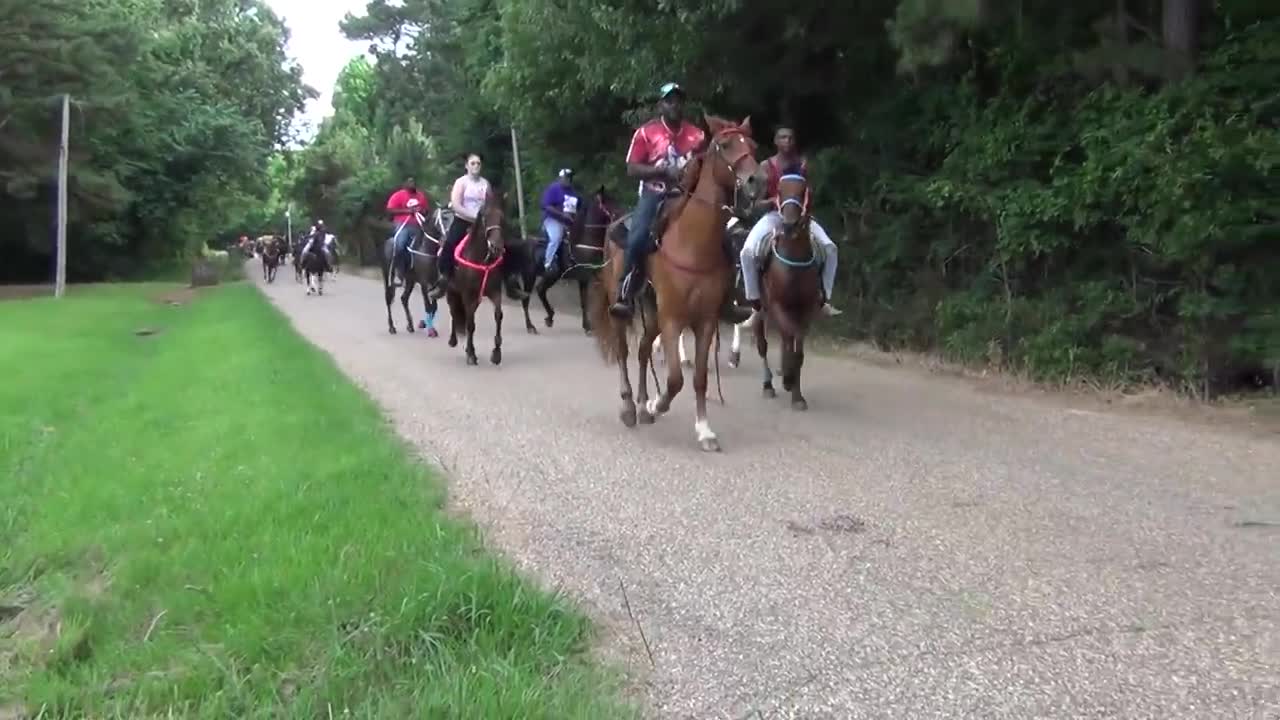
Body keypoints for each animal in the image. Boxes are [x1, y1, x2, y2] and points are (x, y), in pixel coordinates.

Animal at [378, 204, 450, 333]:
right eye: (445, 217)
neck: (426, 249)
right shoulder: (424, 283)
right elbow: (428, 306)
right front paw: (431, 330)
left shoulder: (434, 281)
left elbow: (434, 307)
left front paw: (428, 326)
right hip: (388, 276)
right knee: (388, 299)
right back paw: (391, 327)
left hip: (410, 280)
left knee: (404, 299)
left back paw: (410, 325)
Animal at [445, 190, 509, 363]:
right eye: (485, 217)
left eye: (501, 217)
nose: (496, 247)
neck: (481, 258)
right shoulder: (468, 295)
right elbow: (470, 324)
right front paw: (471, 355)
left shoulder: (494, 291)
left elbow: (498, 316)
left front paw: (496, 353)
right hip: (452, 292)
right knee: (454, 312)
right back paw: (453, 340)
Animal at [588, 114, 757, 450]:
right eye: (725, 145)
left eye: (753, 145)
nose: (755, 180)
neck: (693, 245)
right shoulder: (673, 318)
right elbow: (676, 379)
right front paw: (658, 404)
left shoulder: (705, 321)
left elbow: (700, 378)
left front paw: (704, 430)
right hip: (625, 307)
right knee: (625, 352)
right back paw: (630, 407)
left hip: (652, 311)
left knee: (642, 350)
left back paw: (641, 405)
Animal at [747, 166, 819, 407]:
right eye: (779, 190)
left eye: (803, 190)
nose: (789, 225)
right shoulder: (778, 305)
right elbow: (787, 339)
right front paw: (787, 378)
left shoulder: (806, 309)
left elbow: (798, 350)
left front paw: (797, 394)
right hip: (760, 308)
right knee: (762, 344)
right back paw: (768, 384)